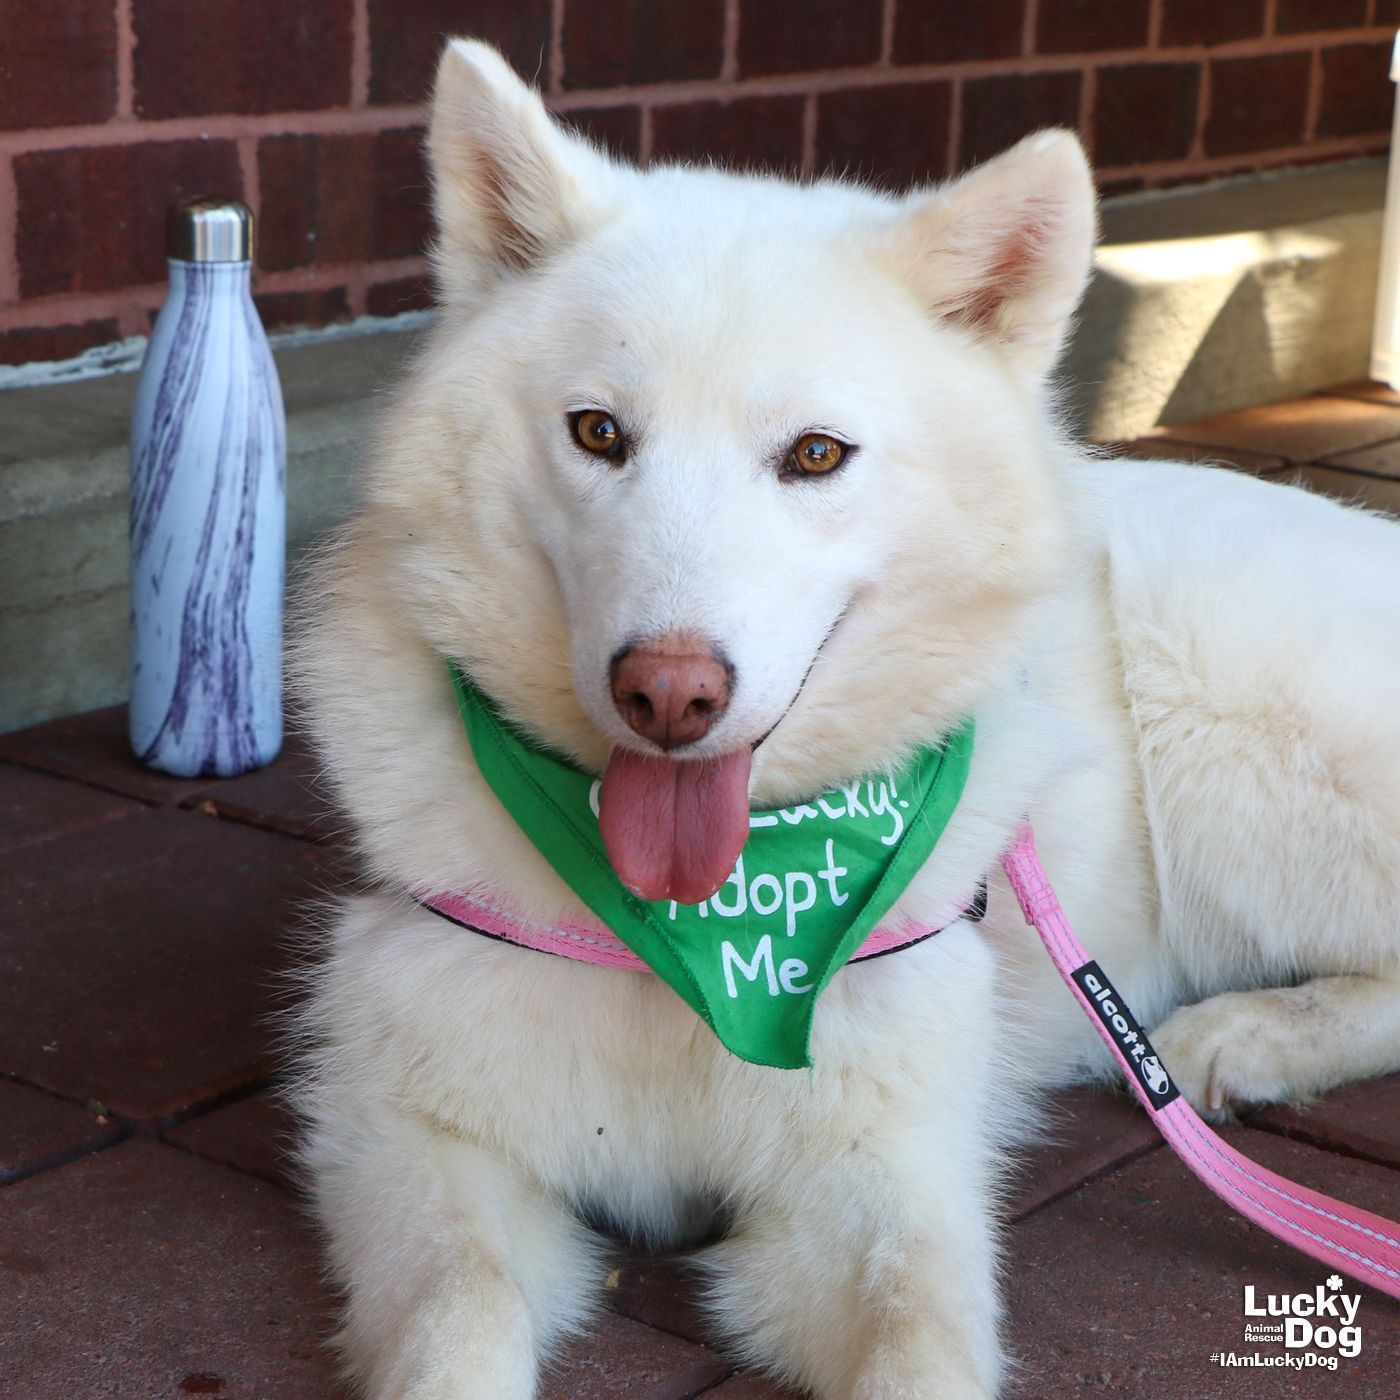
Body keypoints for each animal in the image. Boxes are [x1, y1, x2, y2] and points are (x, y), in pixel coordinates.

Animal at [292, 38, 1400, 1394]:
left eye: (815, 455)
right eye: (597, 431)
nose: (667, 692)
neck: (703, 933)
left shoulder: (882, 1182)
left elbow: (915, 1338)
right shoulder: (408, 1134)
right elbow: (459, 1317)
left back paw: (1248, 1032)